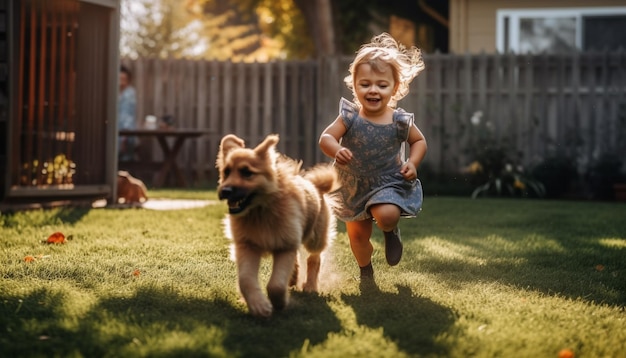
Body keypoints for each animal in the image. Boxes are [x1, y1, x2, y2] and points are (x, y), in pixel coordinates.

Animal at [217, 134, 338, 316]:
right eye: (226, 172)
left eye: (247, 173)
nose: (225, 191)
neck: (260, 211)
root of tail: (316, 186)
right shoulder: (247, 246)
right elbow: (246, 280)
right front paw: (258, 305)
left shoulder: (284, 247)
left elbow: (276, 285)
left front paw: (279, 303)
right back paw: (294, 278)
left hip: (315, 238)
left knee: (314, 257)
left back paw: (310, 286)